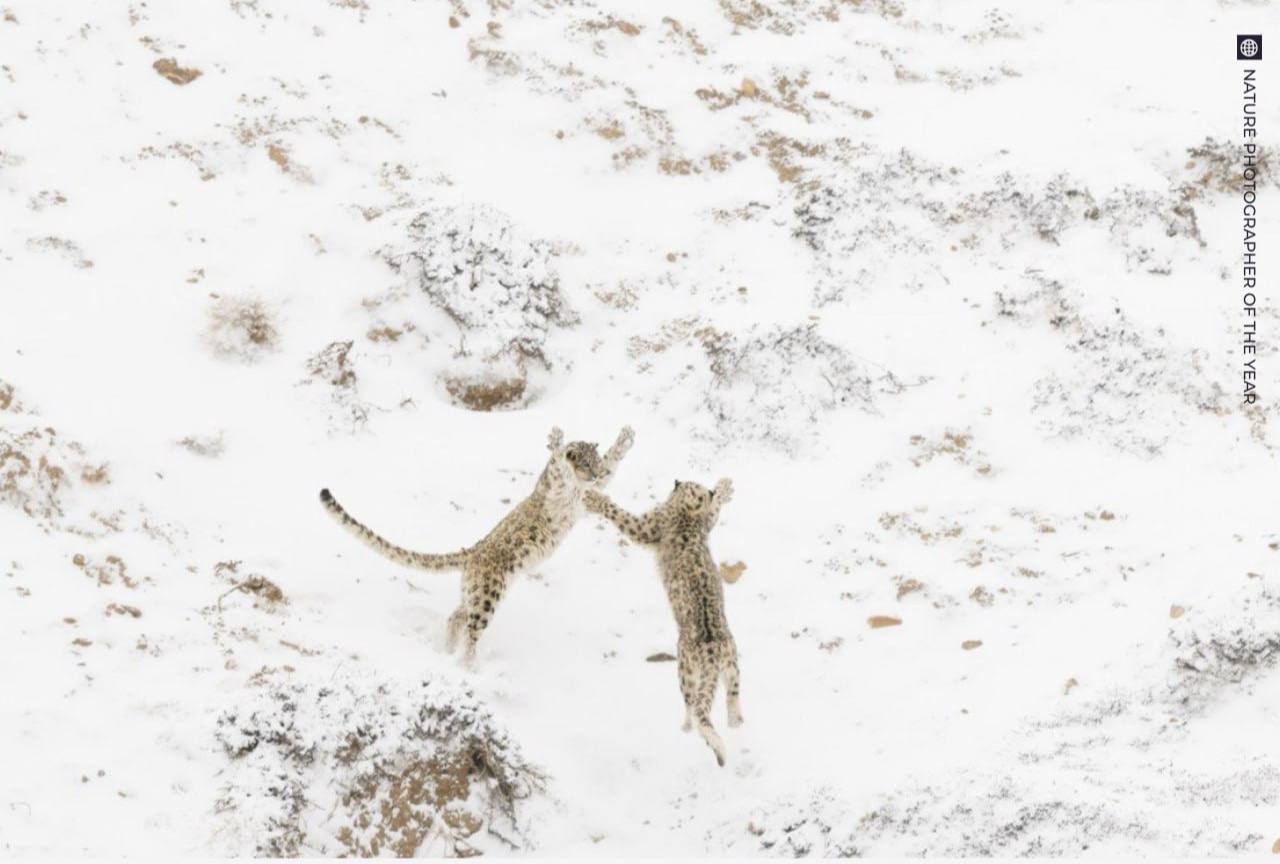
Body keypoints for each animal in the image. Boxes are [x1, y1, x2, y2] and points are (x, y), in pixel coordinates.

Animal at [320, 424, 634, 660]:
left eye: (595, 463)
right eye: (585, 462)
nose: (593, 473)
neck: (578, 492)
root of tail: (472, 552)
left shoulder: (590, 492)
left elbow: (611, 467)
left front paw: (624, 440)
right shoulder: (557, 486)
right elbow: (557, 465)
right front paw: (558, 440)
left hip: (475, 593)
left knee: (456, 617)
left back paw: (448, 651)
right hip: (488, 595)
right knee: (471, 631)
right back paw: (469, 666)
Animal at [583, 476, 742, 768]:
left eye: (687, 483)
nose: (676, 480)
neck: (686, 516)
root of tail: (713, 652)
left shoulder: (646, 527)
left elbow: (622, 516)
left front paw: (594, 499)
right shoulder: (706, 522)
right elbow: (714, 513)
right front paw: (723, 488)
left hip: (685, 670)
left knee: (693, 705)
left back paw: (689, 728)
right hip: (733, 665)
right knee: (732, 695)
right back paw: (736, 721)